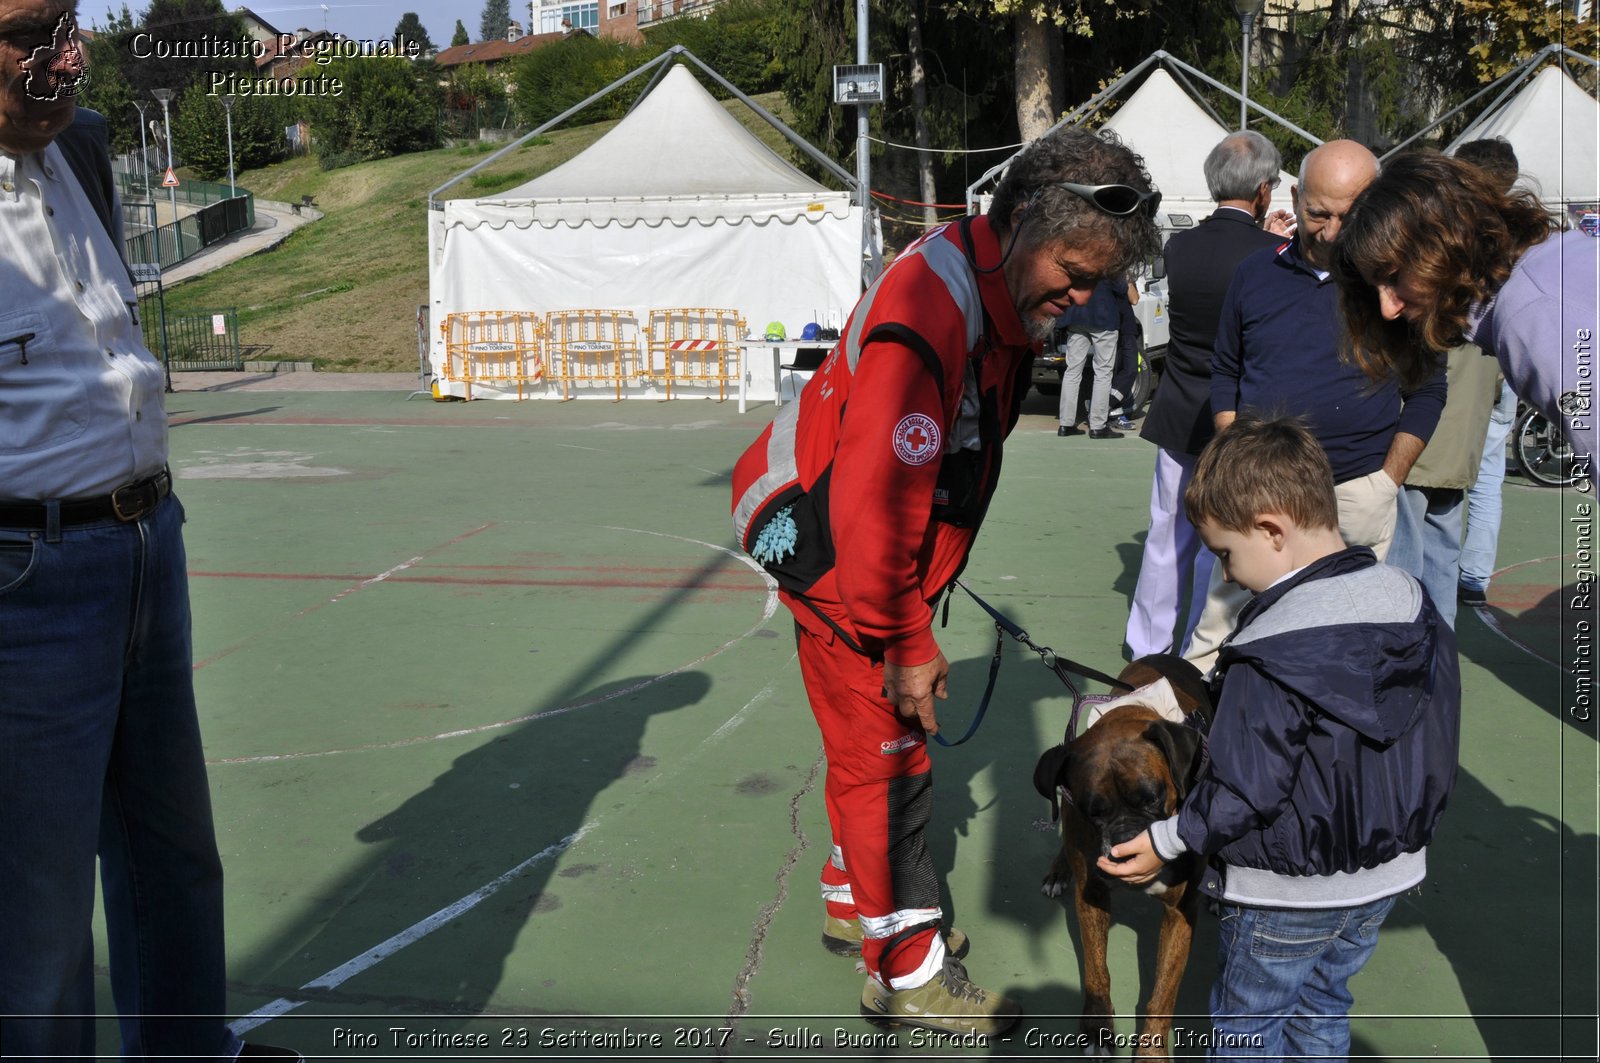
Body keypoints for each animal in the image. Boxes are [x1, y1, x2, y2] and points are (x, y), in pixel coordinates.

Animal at [1036, 653, 1209, 1056]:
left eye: (1154, 797)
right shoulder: (1092, 895)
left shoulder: (1181, 913)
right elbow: (1097, 969)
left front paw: (1151, 1053)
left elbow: (1163, 993)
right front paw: (1098, 1029)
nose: (1127, 841)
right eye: (1093, 812)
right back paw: (1057, 871)